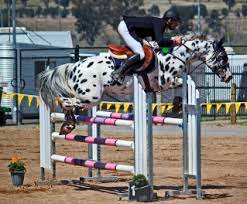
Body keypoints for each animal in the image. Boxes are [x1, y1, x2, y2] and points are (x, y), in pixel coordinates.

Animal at [38, 34, 232, 134]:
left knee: (69, 103)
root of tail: (74, 66)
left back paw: (68, 125)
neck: (178, 54)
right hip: (91, 97)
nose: (229, 77)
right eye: (223, 57)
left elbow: (180, 86)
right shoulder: (164, 81)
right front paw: (177, 104)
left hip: (87, 97)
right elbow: (179, 83)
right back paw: (68, 122)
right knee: (66, 102)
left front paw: (177, 105)